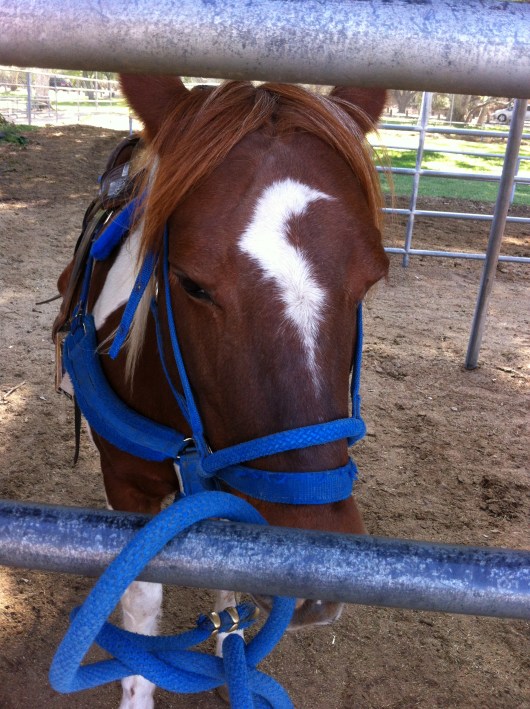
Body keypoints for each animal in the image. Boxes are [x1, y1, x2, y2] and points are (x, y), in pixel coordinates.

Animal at [55, 75, 389, 708]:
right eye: (190, 283)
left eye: (373, 279)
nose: (312, 572)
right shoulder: (128, 485)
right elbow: (142, 598)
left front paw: (230, 645)